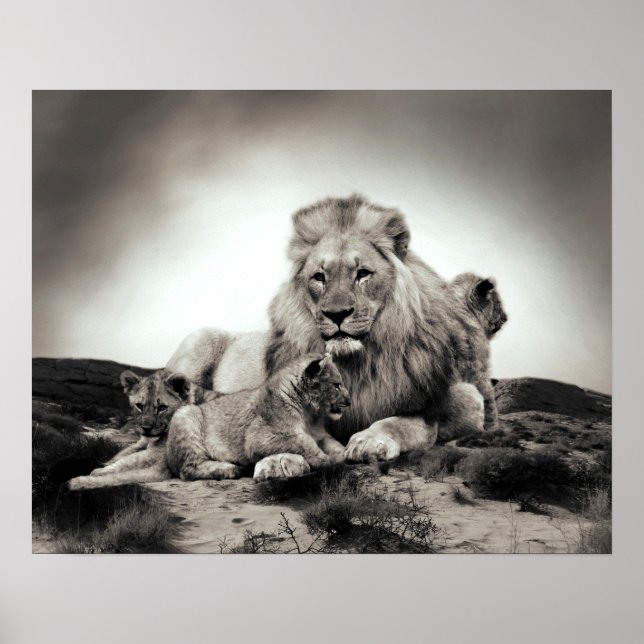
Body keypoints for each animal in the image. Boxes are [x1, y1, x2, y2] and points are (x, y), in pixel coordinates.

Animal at [166, 354, 351, 482]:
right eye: (337, 385)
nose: (349, 402)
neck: (310, 415)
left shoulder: (321, 435)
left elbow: (333, 443)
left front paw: (345, 453)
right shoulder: (258, 437)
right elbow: (304, 442)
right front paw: (326, 460)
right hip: (186, 413)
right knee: (188, 469)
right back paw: (229, 469)